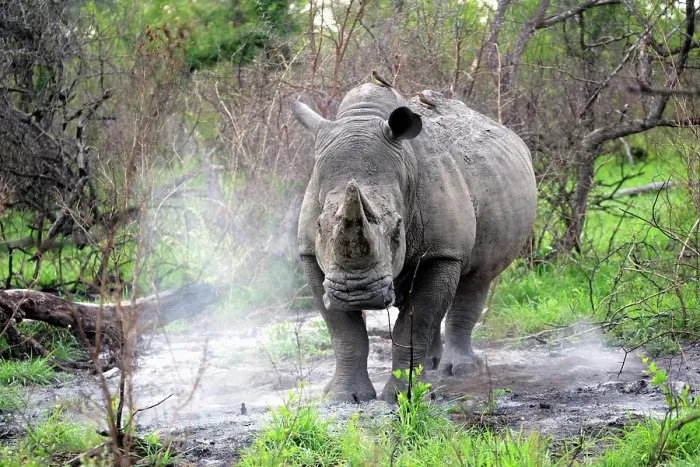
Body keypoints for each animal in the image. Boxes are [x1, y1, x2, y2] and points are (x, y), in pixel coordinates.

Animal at [292, 83, 536, 403]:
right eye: (320, 226)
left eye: (397, 230)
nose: (357, 294)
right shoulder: (311, 255)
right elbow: (345, 332)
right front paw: (345, 397)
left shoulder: (443, 252)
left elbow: (415, 324)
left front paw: (406, 397)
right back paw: (432, 364)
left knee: (474, 280)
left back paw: (459, 370)